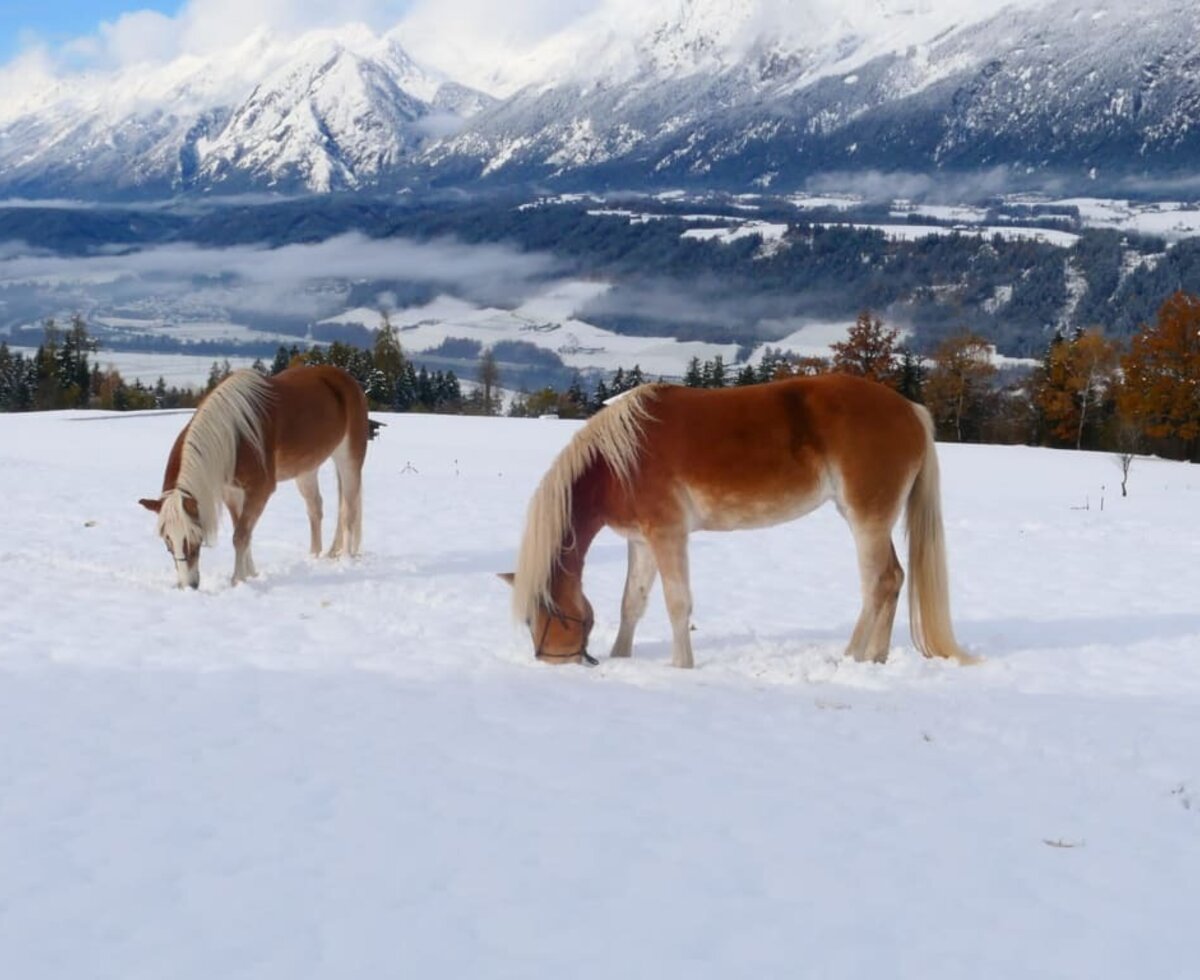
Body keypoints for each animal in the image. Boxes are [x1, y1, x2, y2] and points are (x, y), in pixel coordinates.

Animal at [139, 362, 367, 585]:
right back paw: (316, 556)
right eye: (168, 541)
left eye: (196, 537)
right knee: (316, 510)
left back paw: (345, 558)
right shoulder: (231, 492)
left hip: (349, 460)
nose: (189, 585)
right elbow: (243, 533)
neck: (234, 438)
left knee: (348, 511)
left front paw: (237, 580)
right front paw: (251, 574)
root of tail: (345, 379)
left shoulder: (259, 491)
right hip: (307, 470)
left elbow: (240, 536)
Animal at [501, 371, 979, 666]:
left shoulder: (668, 535)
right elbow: (632, 603)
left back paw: (850, 656)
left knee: (878, 583)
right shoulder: (642, 541)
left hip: (867, 520)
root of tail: (911, 411)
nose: (552, 660)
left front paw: (681, 666)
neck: (621, 461)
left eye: (542, 616)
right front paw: (621, 659)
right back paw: (875, 657)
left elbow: (678, 603)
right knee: (894, 579)